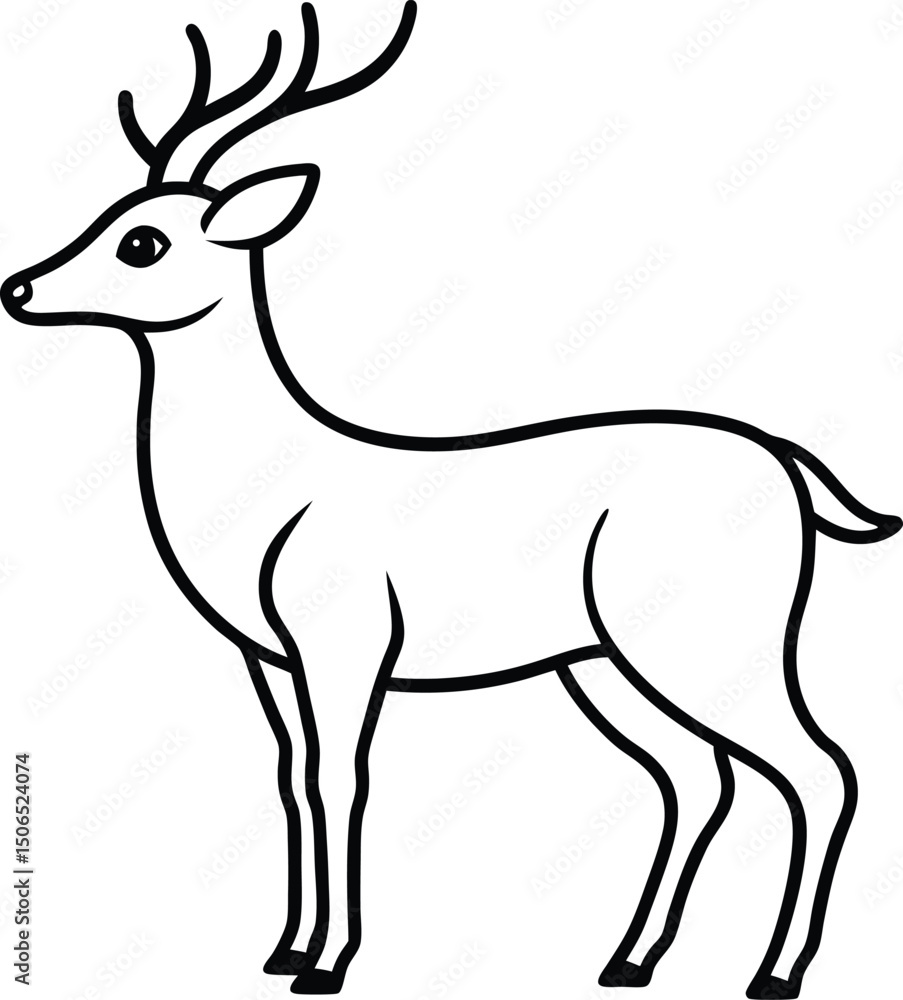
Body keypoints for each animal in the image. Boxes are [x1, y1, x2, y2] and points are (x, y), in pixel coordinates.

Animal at [2, 3, 899, 996]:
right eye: (111, 215)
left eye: (144, 241)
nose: (18, 287)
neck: (268, 488)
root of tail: (787, 463)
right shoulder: (268, 658)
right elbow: (291, 778)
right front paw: (282, 950)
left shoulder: (346, 644)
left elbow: (342, 779)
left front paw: (328, 964)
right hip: (600, 661)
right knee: (698, 777)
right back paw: (627, 960)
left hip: (713, 638)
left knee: (820, 768)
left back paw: (772, 973)